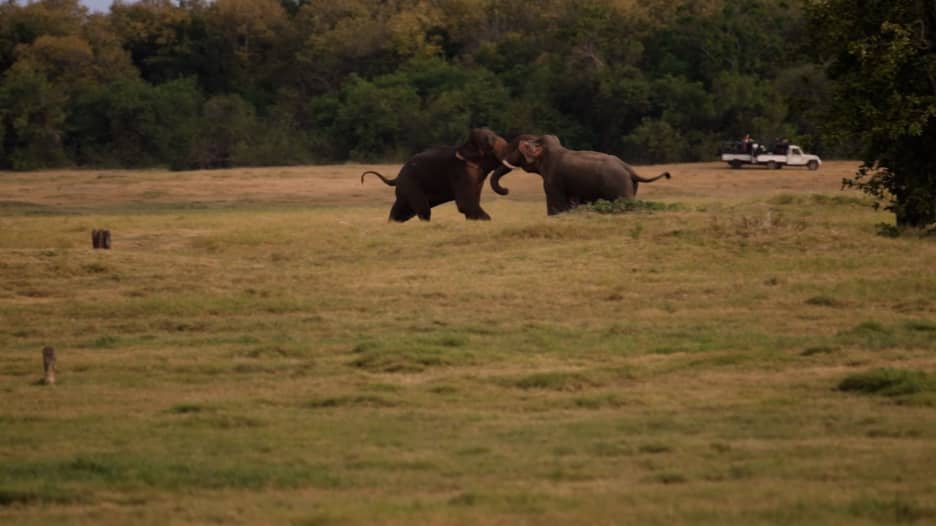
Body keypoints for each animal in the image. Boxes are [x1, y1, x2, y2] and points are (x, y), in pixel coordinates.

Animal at [360, 130, 504, 225]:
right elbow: (465, 203)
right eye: (489, 145)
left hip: (405, 191)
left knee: (402, 211)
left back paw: (392, 224)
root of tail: (397, 177)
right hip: (412, 187)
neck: (464, 146)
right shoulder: (459, 173)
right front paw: (488, 221)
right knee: (423, 210)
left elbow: (473, 201)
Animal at [490, 137, 672, 218]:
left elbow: (555, 203)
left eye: (516, 150)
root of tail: (630, 169)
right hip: (631, 187)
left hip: (618, 187)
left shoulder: (553, 180)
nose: (506, 190)